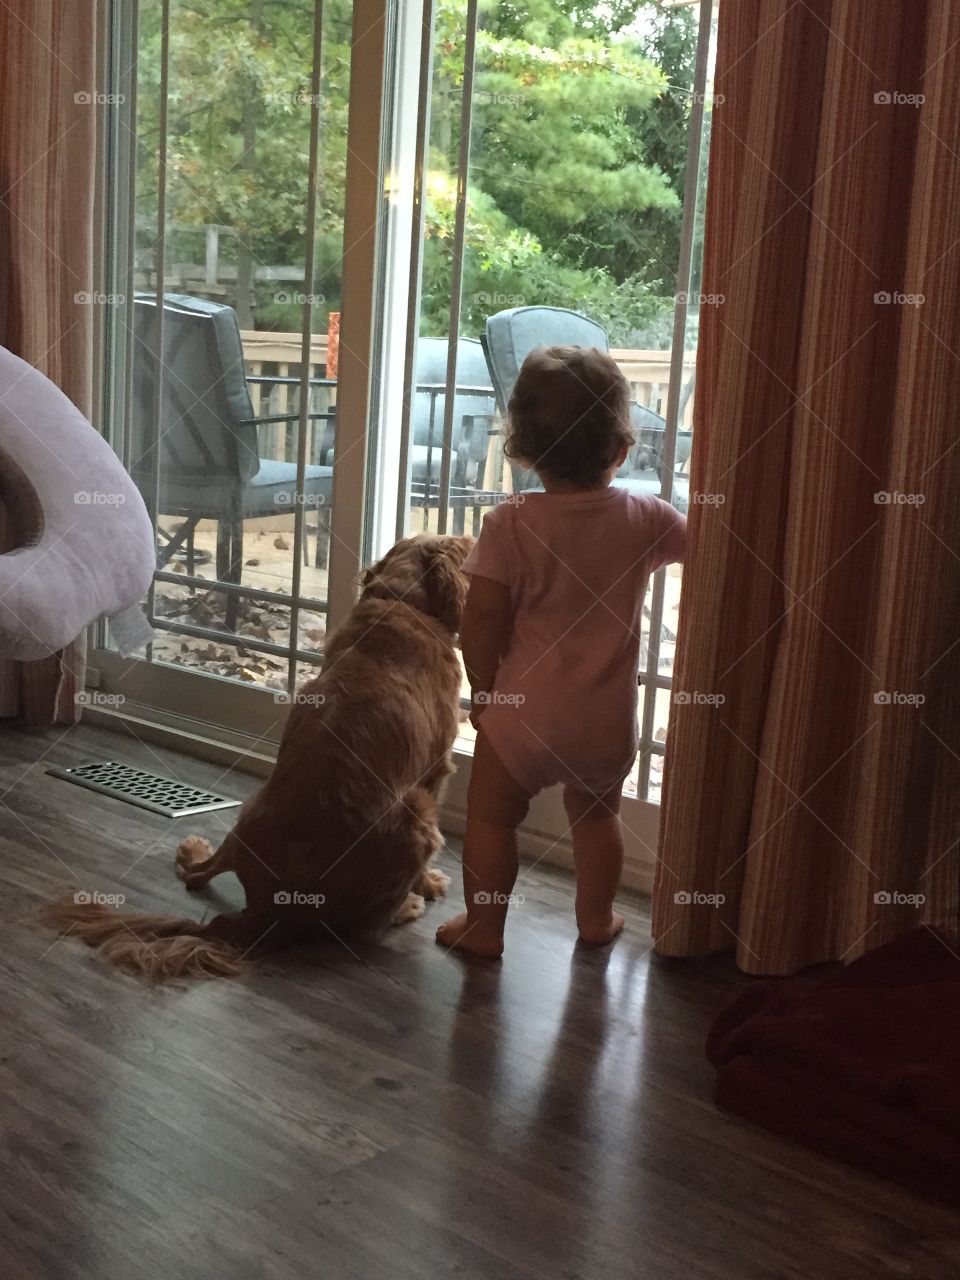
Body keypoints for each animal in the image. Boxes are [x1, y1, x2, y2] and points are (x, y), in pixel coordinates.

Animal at [45, 532, 473, 977]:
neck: (401, 599)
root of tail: (264, 913)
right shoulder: (434, 772)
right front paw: (429, 884)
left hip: (250, 808)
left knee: (197, 875)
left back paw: (193, 852)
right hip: (417, 817)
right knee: (363, 926)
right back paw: (407, 906)